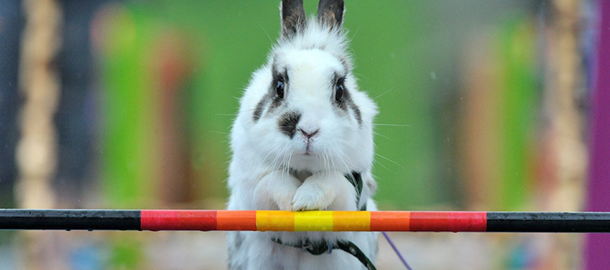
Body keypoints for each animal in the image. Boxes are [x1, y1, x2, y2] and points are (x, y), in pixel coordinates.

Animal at [226, 0, 378, 270]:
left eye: (340, 90)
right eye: (279, 86)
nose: (309, 130)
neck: (303, 168)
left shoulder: (351, 186)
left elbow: (330, 181)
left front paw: (305, 200)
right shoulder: (251, 183)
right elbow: (272, 180)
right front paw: (291, 203)